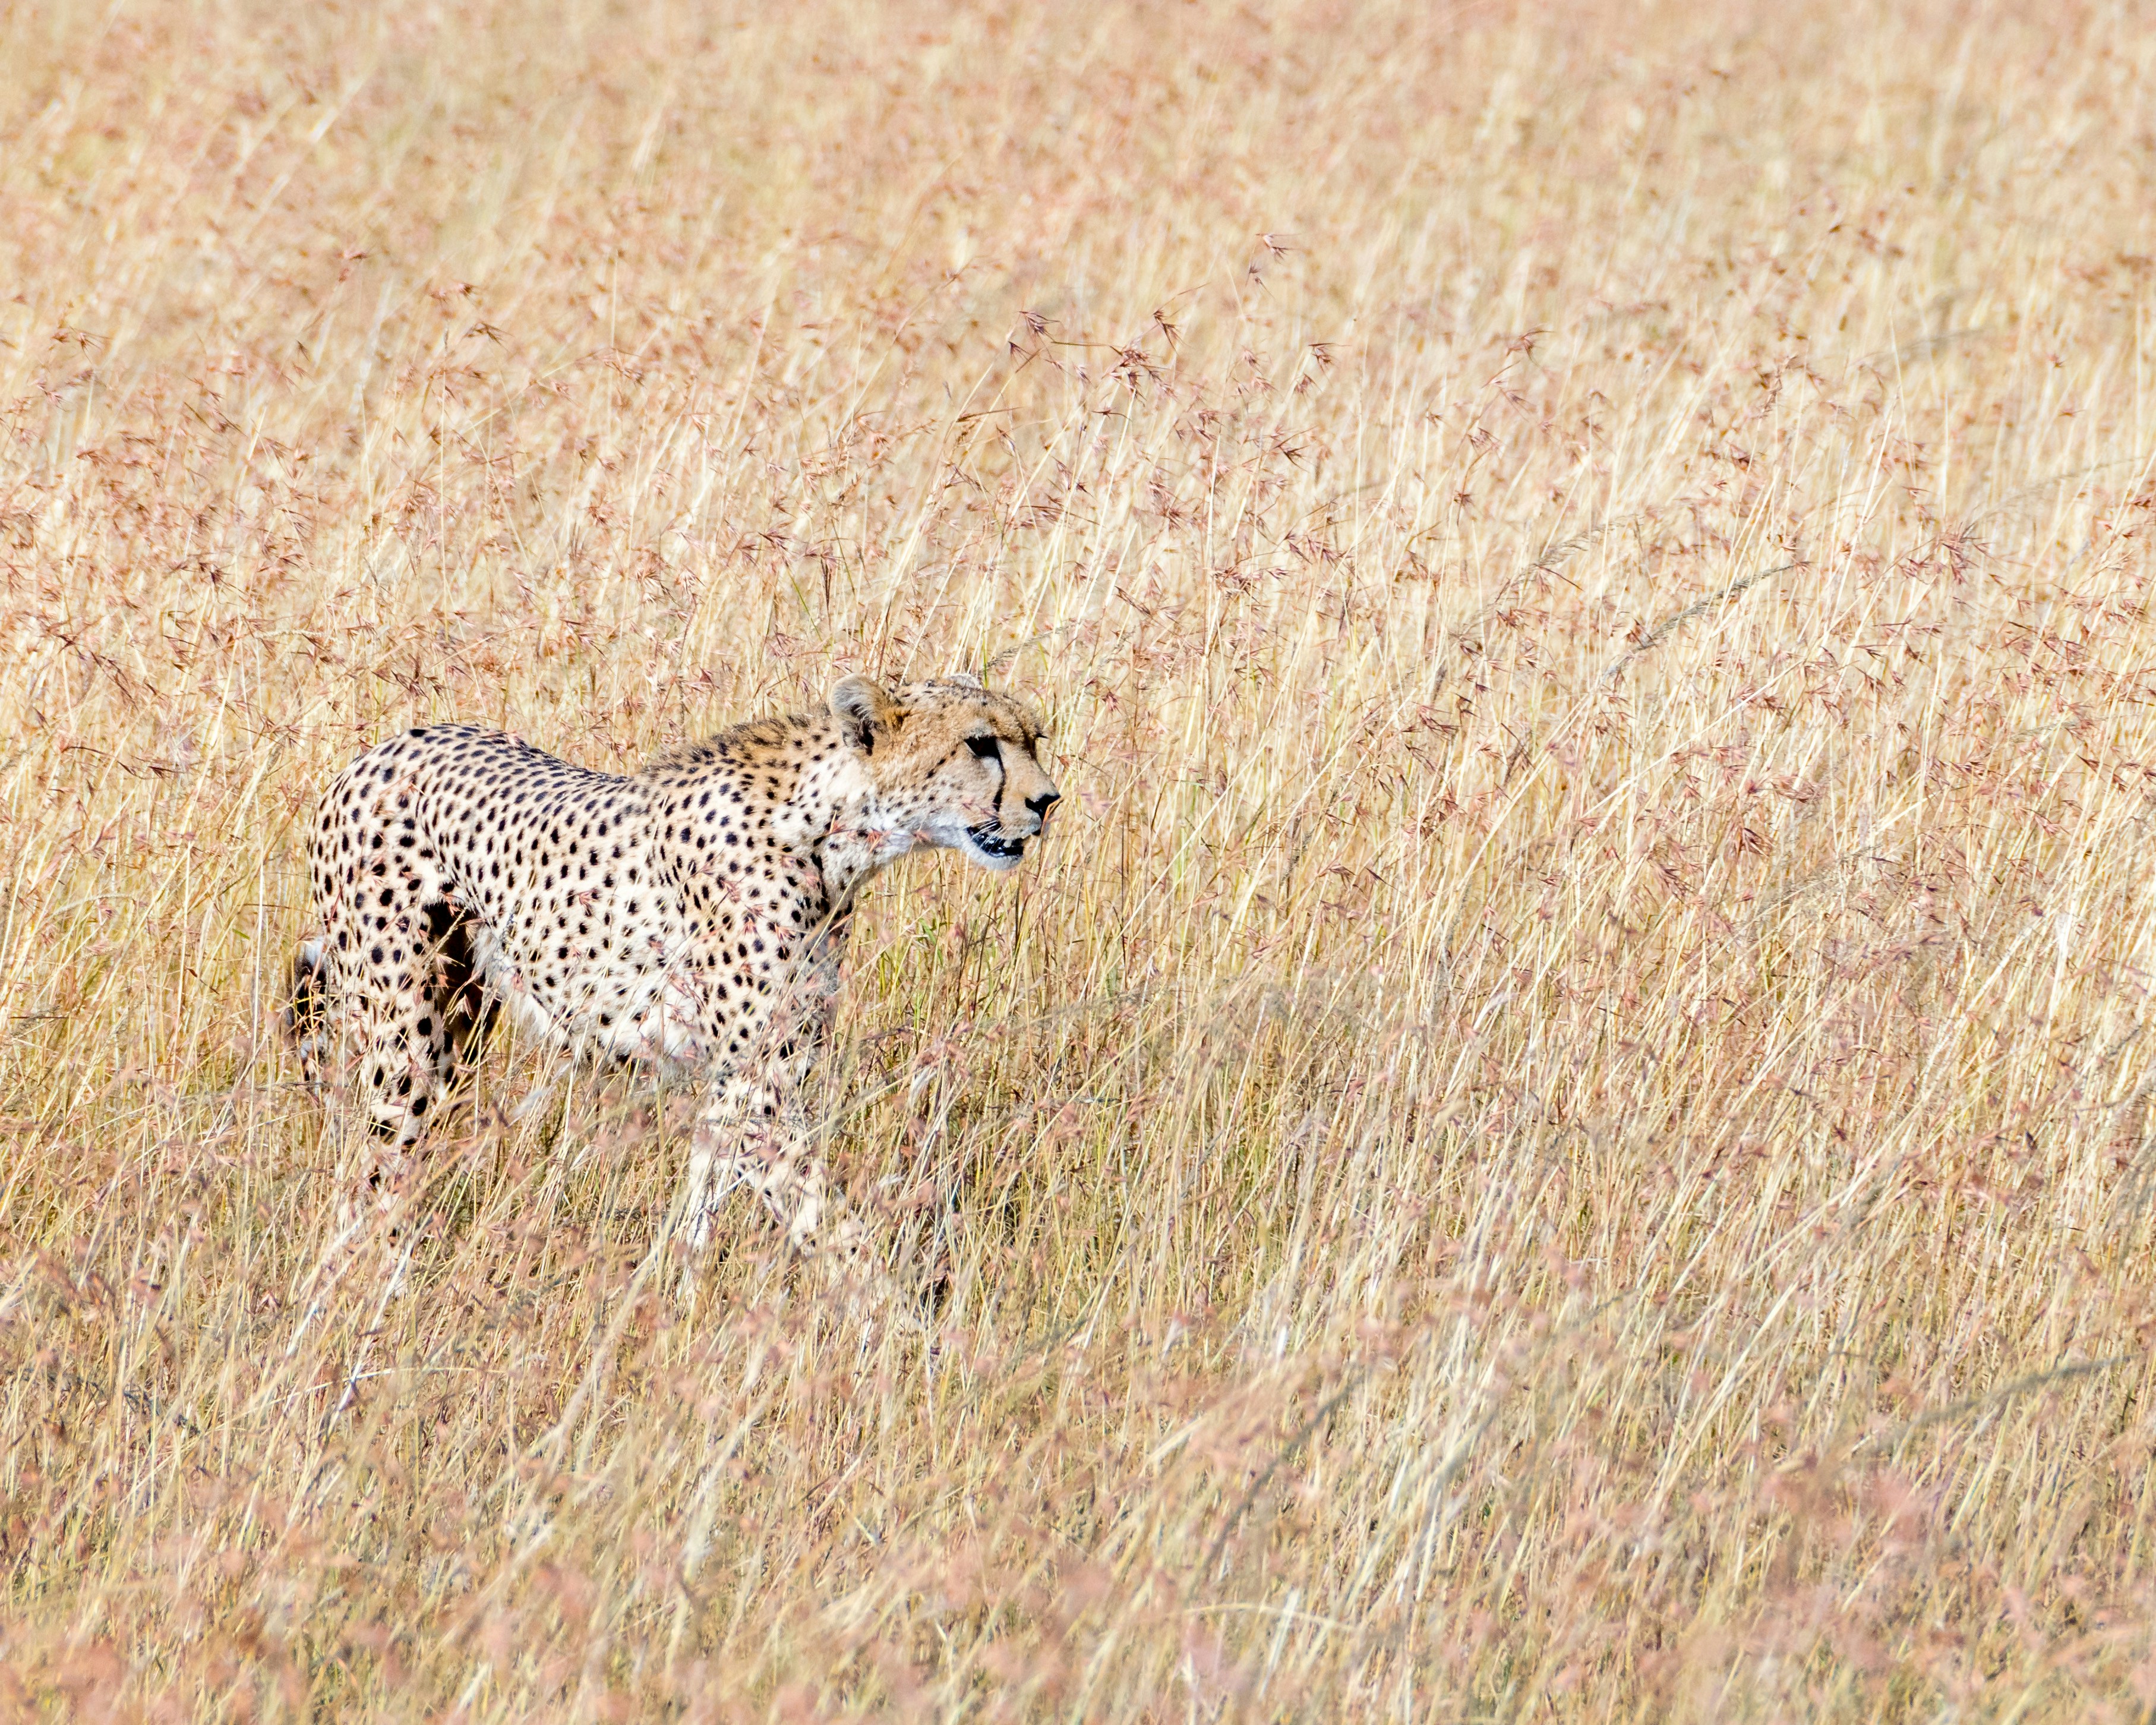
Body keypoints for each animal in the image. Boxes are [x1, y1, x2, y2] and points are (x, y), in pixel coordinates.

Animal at [287, 672, 1060, 1269]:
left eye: (1033, 738)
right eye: (980, 743)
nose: (1046, 801)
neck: (831, 834)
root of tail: (377, 750)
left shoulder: (746, 1070)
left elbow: (704, 1197)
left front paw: (675, 1291)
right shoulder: (760, 1084)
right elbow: (828, 1223)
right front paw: (896, 1331)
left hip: (465, 1015)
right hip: (406, 1032)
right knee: (373, 1167)